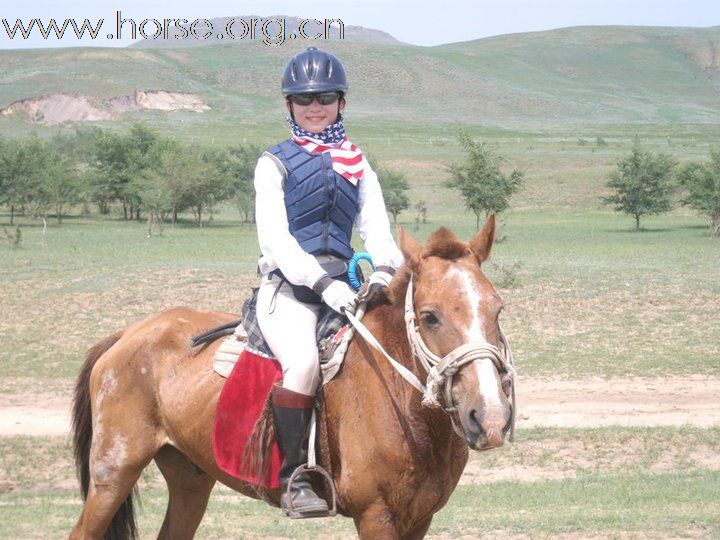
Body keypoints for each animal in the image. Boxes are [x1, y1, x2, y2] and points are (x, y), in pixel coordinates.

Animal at [70, 216, 512, 540]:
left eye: (497, 309)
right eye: (430, 316)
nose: (488, 416)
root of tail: (127, 333)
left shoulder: (419, 518)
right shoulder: (376, 516)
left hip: (189, 480)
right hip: (112, 475)